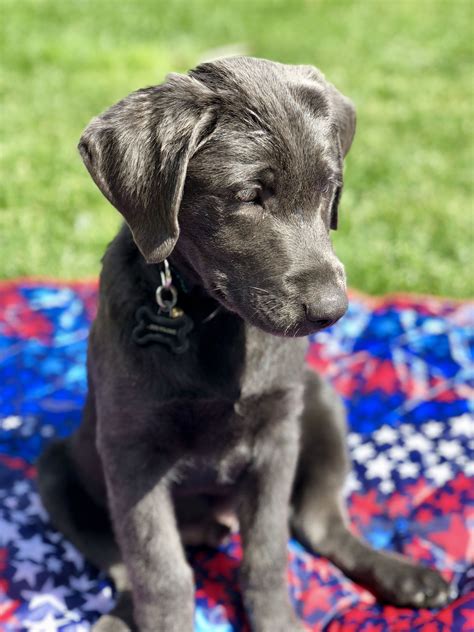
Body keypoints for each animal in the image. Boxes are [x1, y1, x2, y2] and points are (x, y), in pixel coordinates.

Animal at [37, 56, 452, 628]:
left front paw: (278, 620)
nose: (333, 311)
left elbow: (268, 554)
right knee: (123, 569)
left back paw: (407, 576)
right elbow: (159, 570)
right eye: (249, 196)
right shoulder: (132, 451)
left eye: (330, 190)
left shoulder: (277, 437)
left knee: (318, 524)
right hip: (55, 467)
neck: (214, 320)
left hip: (321, 399)